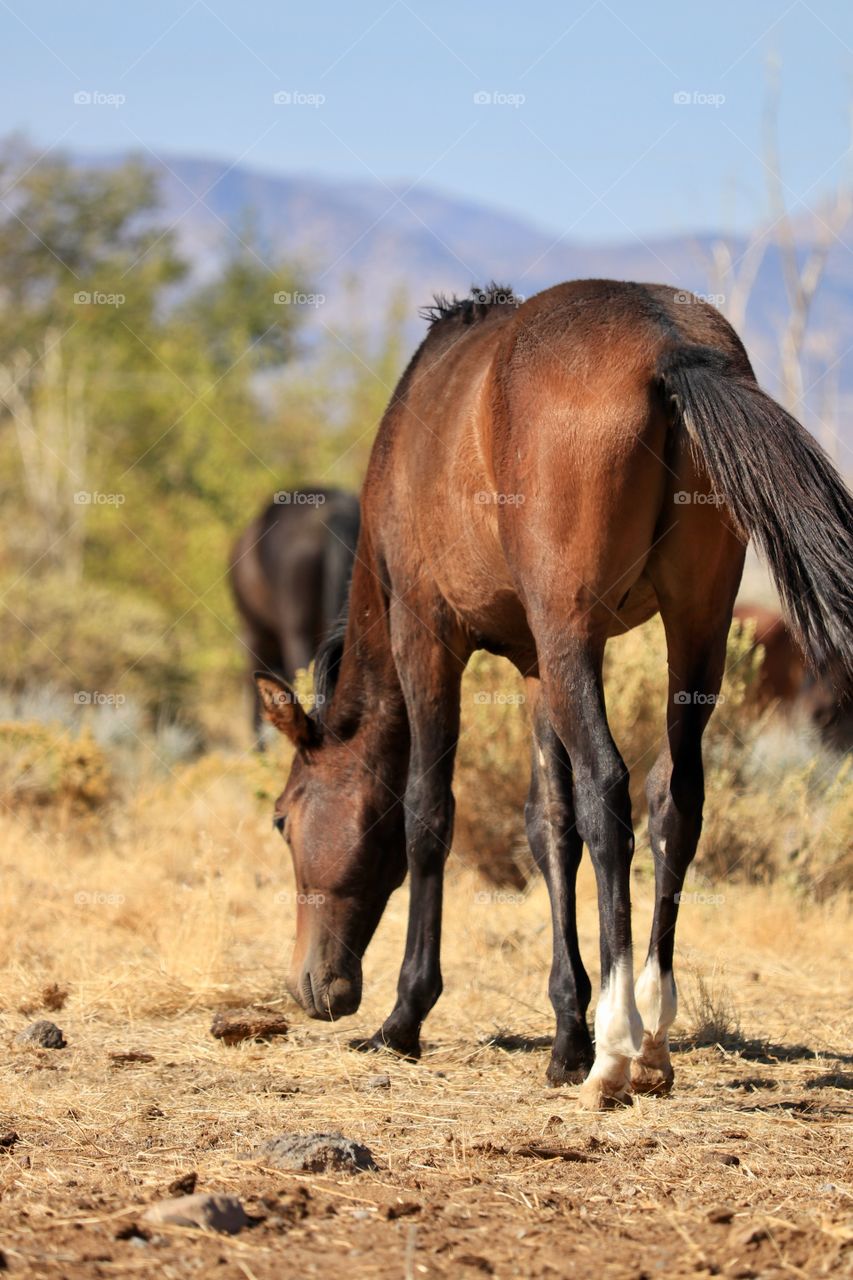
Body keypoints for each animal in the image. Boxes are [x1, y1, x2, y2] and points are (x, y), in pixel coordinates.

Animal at [254, 281, 853, 1111]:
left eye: (282, 820)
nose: (313, 988)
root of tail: (669, 345)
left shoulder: (428, 636)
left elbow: (429, 815)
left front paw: (404, 1018)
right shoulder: (537, 665)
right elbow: (549, 829)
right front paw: (567, 1032)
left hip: (576, 633)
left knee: (609, 792)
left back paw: (617, 1054)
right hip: (692, 628)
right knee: (675, 801)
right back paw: (653, 1042)